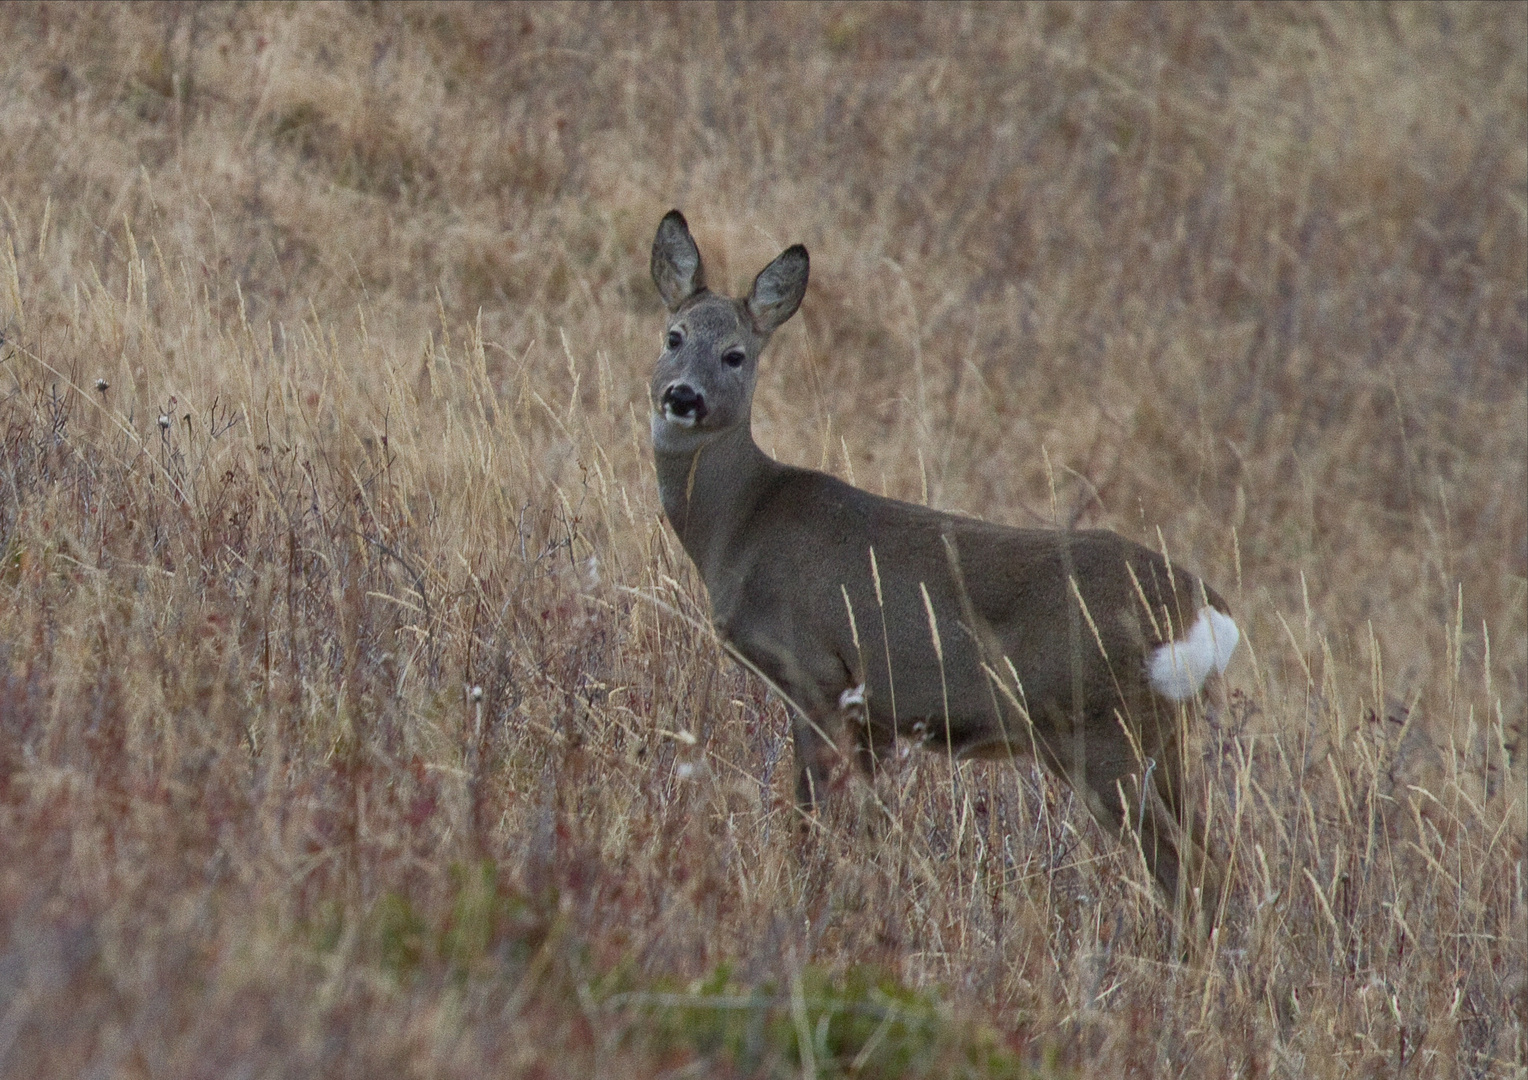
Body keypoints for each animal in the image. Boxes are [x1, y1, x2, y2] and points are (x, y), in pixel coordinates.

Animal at [644, 209, 1240, 910]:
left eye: (735, 354)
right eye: (674, 336)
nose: (683, 396)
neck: (741, 522)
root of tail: (1206, 611)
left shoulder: (816, 672)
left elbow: (811, 813)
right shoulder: (873, 713)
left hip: (1104, 730)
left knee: (1187, 866)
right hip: (1162, 734)